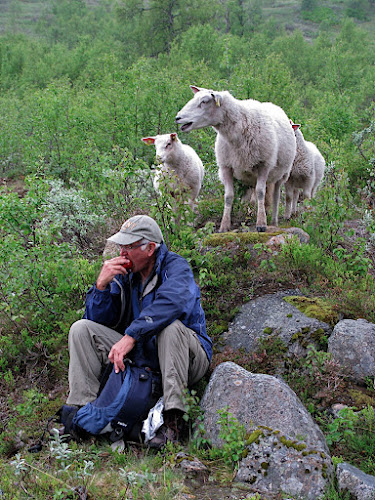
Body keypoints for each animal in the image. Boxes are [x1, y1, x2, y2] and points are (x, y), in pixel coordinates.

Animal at [176, 86, 296, 232]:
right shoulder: (226, 166)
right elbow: (228, 196)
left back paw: (273, 221)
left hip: (282, 174)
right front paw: (224, 226)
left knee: (276, 195)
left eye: (204, 101)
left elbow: (260, 192)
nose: (177, 118)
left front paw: (261, 224)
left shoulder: (264, 165)